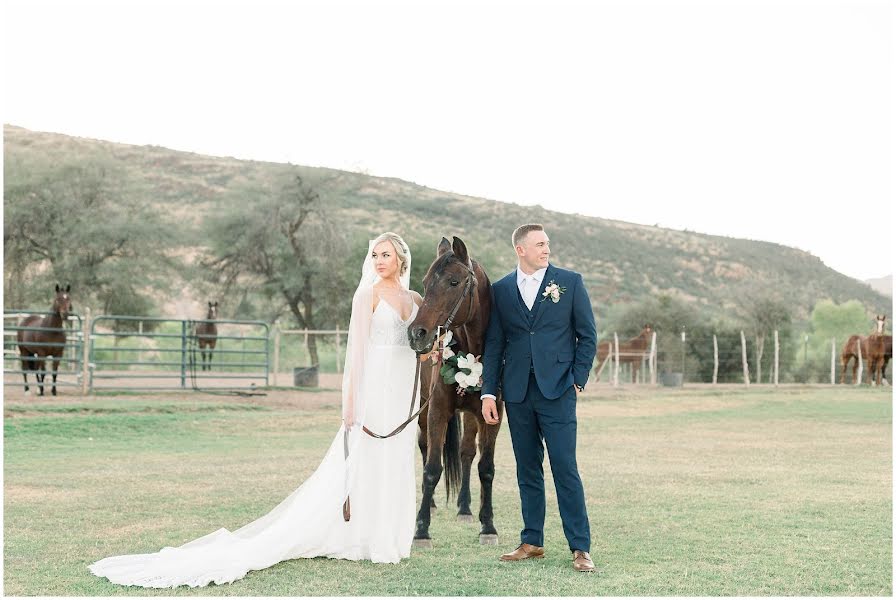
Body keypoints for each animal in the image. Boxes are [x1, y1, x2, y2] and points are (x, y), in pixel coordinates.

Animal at [408, 237, 504, 548]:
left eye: (453, 282)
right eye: (426, 282)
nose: (417, 334)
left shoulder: (492, 415)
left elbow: (486, 467)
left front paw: (488, 526)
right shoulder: (437, 411)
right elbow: (432, 469)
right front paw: (421, 530)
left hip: (472, 415)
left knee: (466, 453)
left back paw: (464, 508)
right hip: (423, 410)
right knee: (426, 448)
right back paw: (433, 505)